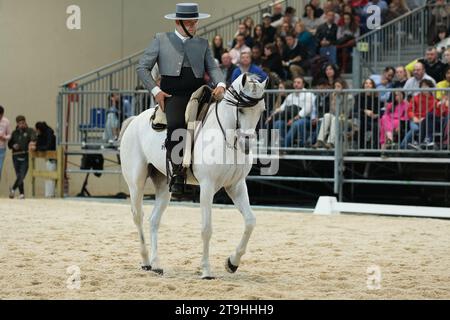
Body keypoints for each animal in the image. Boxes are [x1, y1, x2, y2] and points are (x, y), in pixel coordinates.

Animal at [119, 74, 268, 278]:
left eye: (261, 110)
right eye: (241, 110)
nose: (246, 145)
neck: (225, 137)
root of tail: (134, 121)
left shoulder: (236, 185)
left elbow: (250, 222)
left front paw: (232, 263)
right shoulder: (207, 186)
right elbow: (206, 229)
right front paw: (206, 270)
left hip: (164, 185)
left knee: (154, 220)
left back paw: (157, 264)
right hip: (136, 183)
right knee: (138, 217)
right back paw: (146, 261)